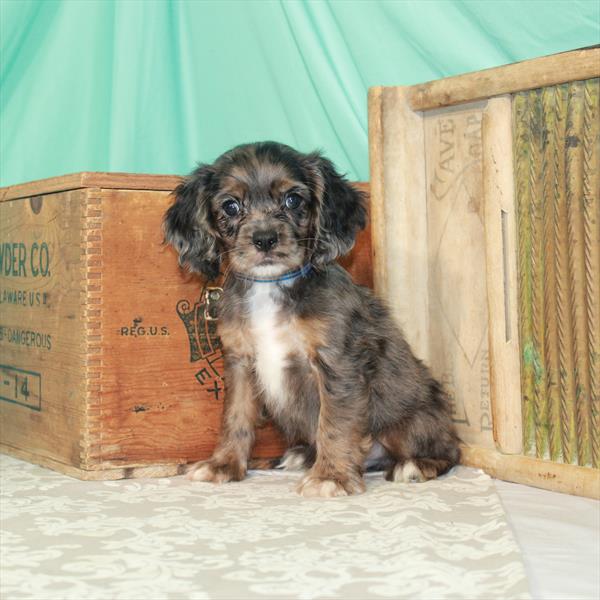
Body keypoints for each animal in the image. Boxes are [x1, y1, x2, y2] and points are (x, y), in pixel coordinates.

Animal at [164, 141, 460, 496]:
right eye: (231, 206)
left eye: (293, 200)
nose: (265, 239)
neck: (272, 285)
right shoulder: (240, 362)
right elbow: (235, 417)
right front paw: (224, 464)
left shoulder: (337, 363)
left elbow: (334, 423)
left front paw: (331, 476)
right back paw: (305, 455)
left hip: (406, 424)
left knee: (449, 450)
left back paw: (414, 465)